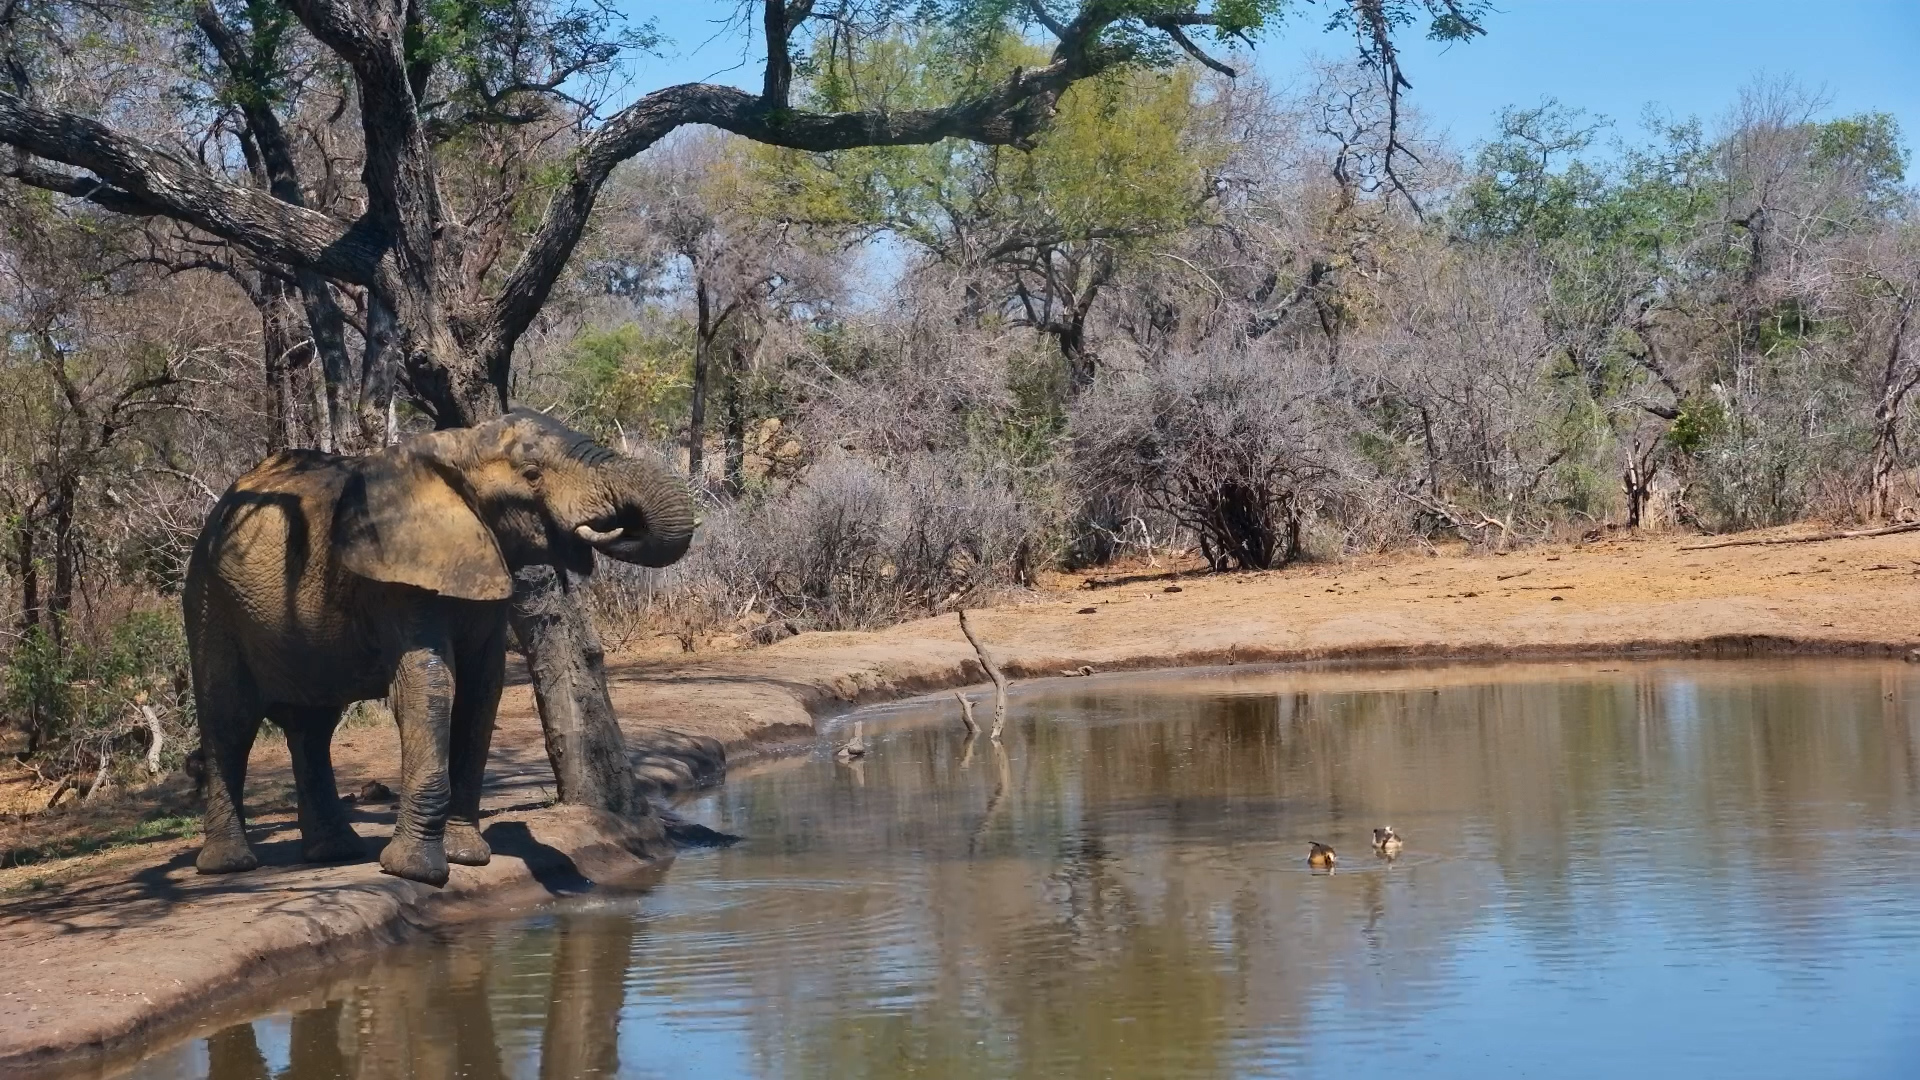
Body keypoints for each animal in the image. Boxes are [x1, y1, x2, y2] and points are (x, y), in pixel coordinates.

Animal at [183, 408, 695, 885]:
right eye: (532, 474)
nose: (615, 525)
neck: (460, 448)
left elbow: (481, 691)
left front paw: (467, 856)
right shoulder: (398, 580)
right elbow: (429, 688)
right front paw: (416, 872)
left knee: (312, 727)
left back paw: (335, 852)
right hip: (209, 596)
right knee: (230, 719)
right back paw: (230, 865)